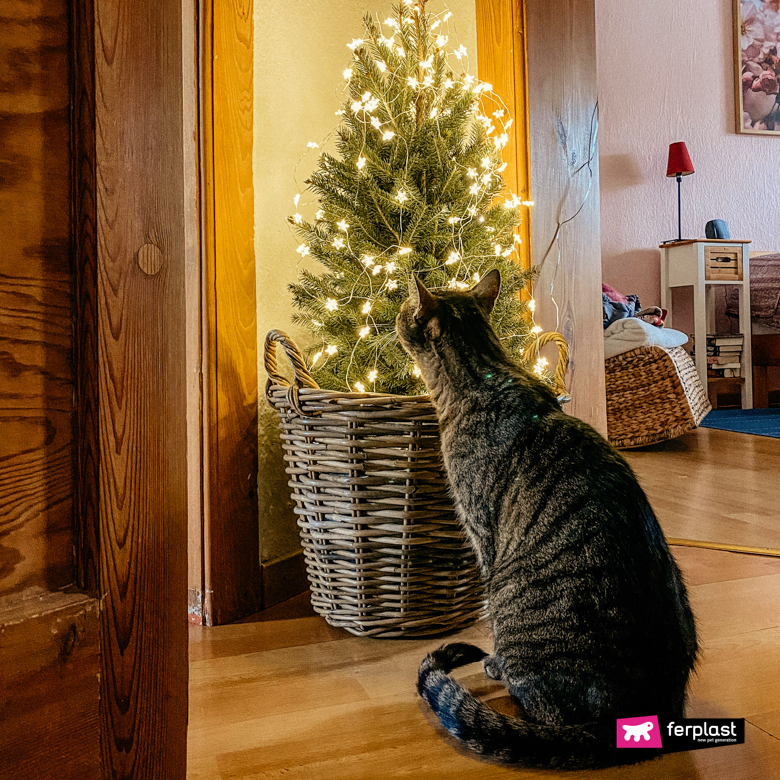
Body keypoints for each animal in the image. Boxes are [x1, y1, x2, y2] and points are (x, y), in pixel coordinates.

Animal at [400, 270, 696, 768]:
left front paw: (492, 660)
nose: (394, 312)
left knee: (541, 708)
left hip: (508, 589)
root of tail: (651, 710)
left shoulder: (482, 533)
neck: (484, 372)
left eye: (405, 309)